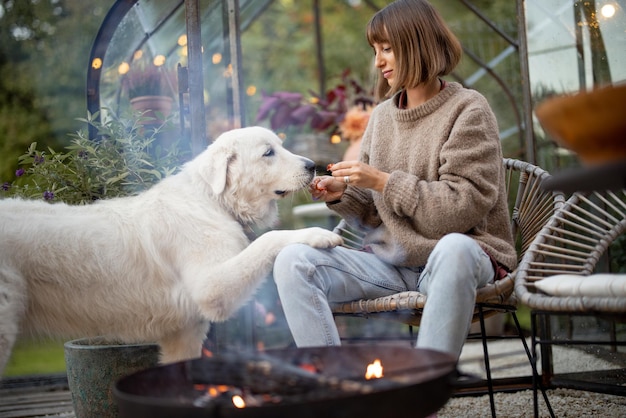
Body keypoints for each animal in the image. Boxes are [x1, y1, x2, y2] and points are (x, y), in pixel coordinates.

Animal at [1, 125, 342, 372]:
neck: (212, 200)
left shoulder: (185, 332)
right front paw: (317, 234)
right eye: (268, 153)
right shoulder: (211, 288)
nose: (313, 166)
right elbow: (268, 239)